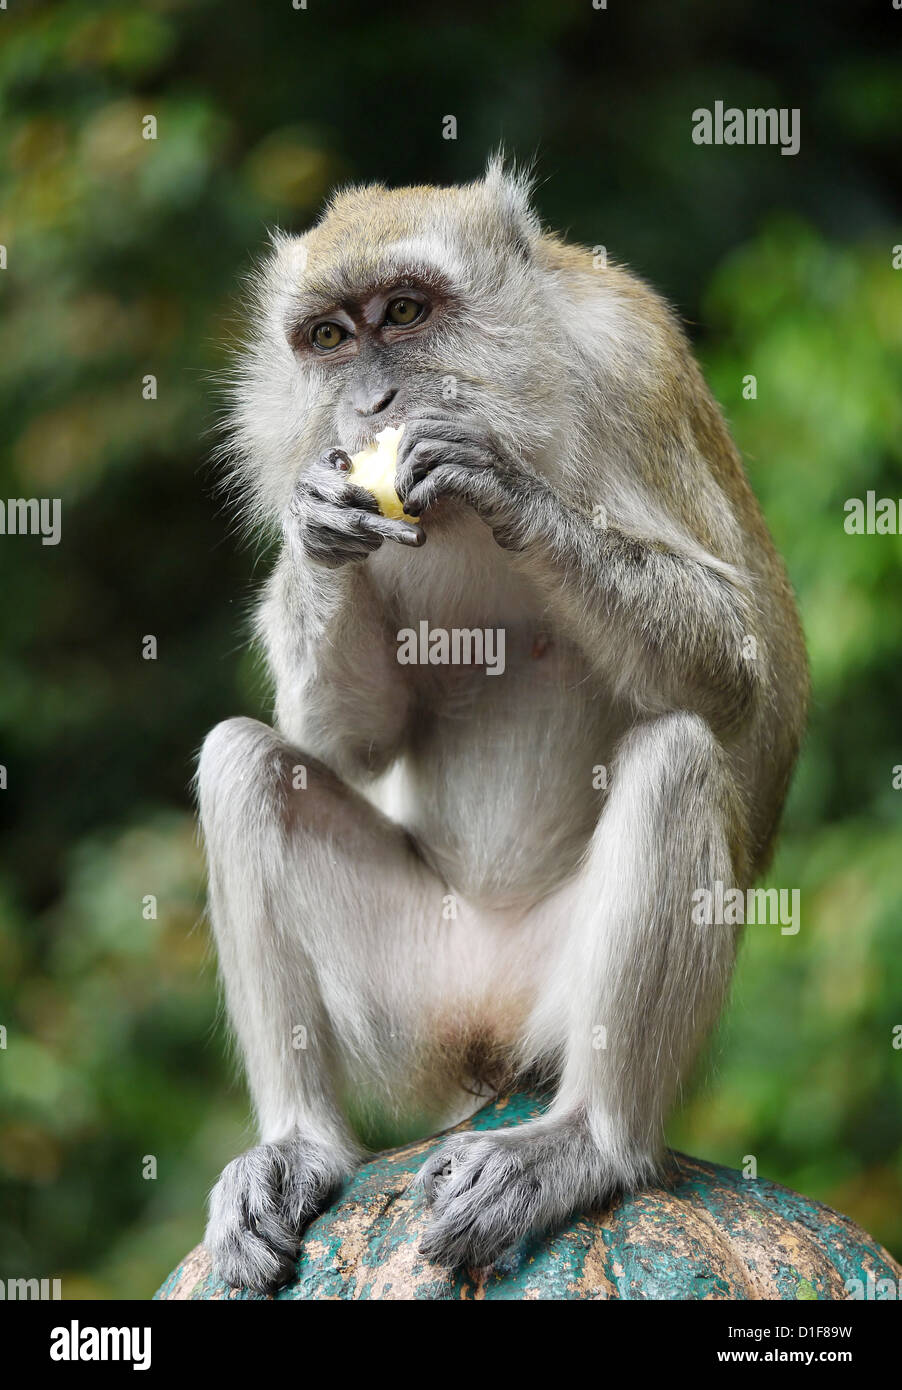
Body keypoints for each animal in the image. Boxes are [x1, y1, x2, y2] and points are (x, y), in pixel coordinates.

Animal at [200, 162, 806, 1289]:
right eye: (329, 338)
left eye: (404, 313)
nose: (371, 402)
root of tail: (486, 1036)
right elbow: (350, 739)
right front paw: (315, 524)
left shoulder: (632, 365)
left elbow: (737, 670)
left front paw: (511, 492)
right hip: (418, 996)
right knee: (241, 762)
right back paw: (300, 1144)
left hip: (552, 999)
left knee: (676, 755)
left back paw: (587, 1141)